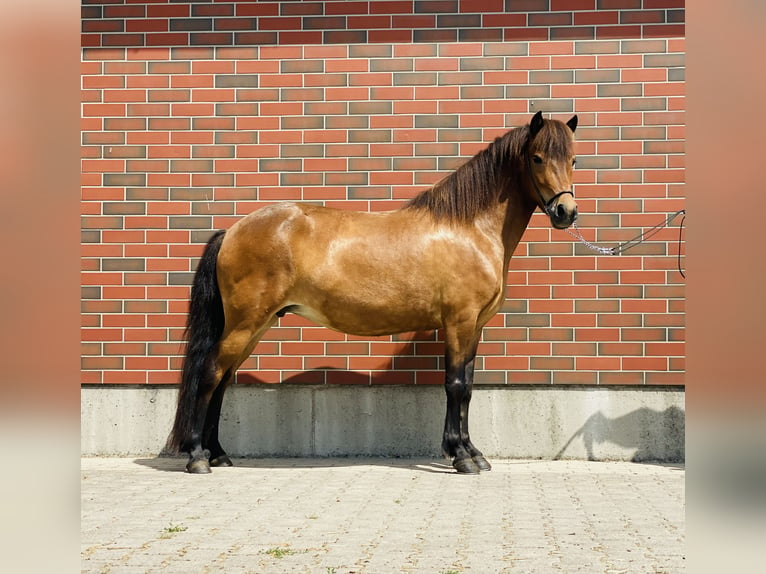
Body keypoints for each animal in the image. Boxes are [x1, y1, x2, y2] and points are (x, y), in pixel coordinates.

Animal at [166, 110, 576, 474]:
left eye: (574, 158)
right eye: (537, 158)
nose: (566, 212)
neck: (468, 228)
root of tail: (231, 231)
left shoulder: (474, 327)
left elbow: (468, 388)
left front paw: (473, 452)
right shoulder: (459, 323)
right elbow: (456, 385)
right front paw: (462, 457)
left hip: (254, 326)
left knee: (223, 379)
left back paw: (219, 454)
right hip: (245, 324)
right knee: (210, 374)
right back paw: (198, 457)